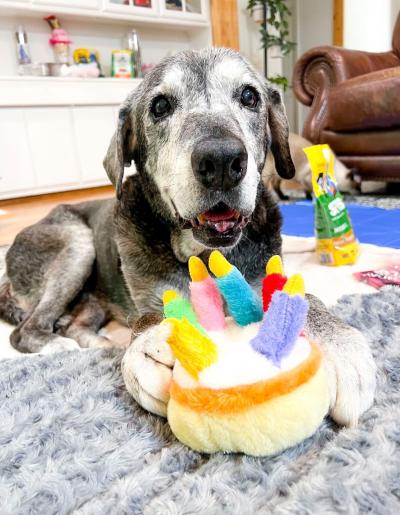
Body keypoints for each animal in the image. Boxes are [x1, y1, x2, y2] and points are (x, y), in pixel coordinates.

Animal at [0, 48, 376, 428]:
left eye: (249, 96)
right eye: (160, 106)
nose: (222, 160)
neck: (206, 254)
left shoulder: (263, 277)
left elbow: (304, 296)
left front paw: (341, 346)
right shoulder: (151, 299)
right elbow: (147, 319)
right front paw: (148, 348)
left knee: (76, 323)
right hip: (76, 242)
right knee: (23, 331)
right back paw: (57, 345)